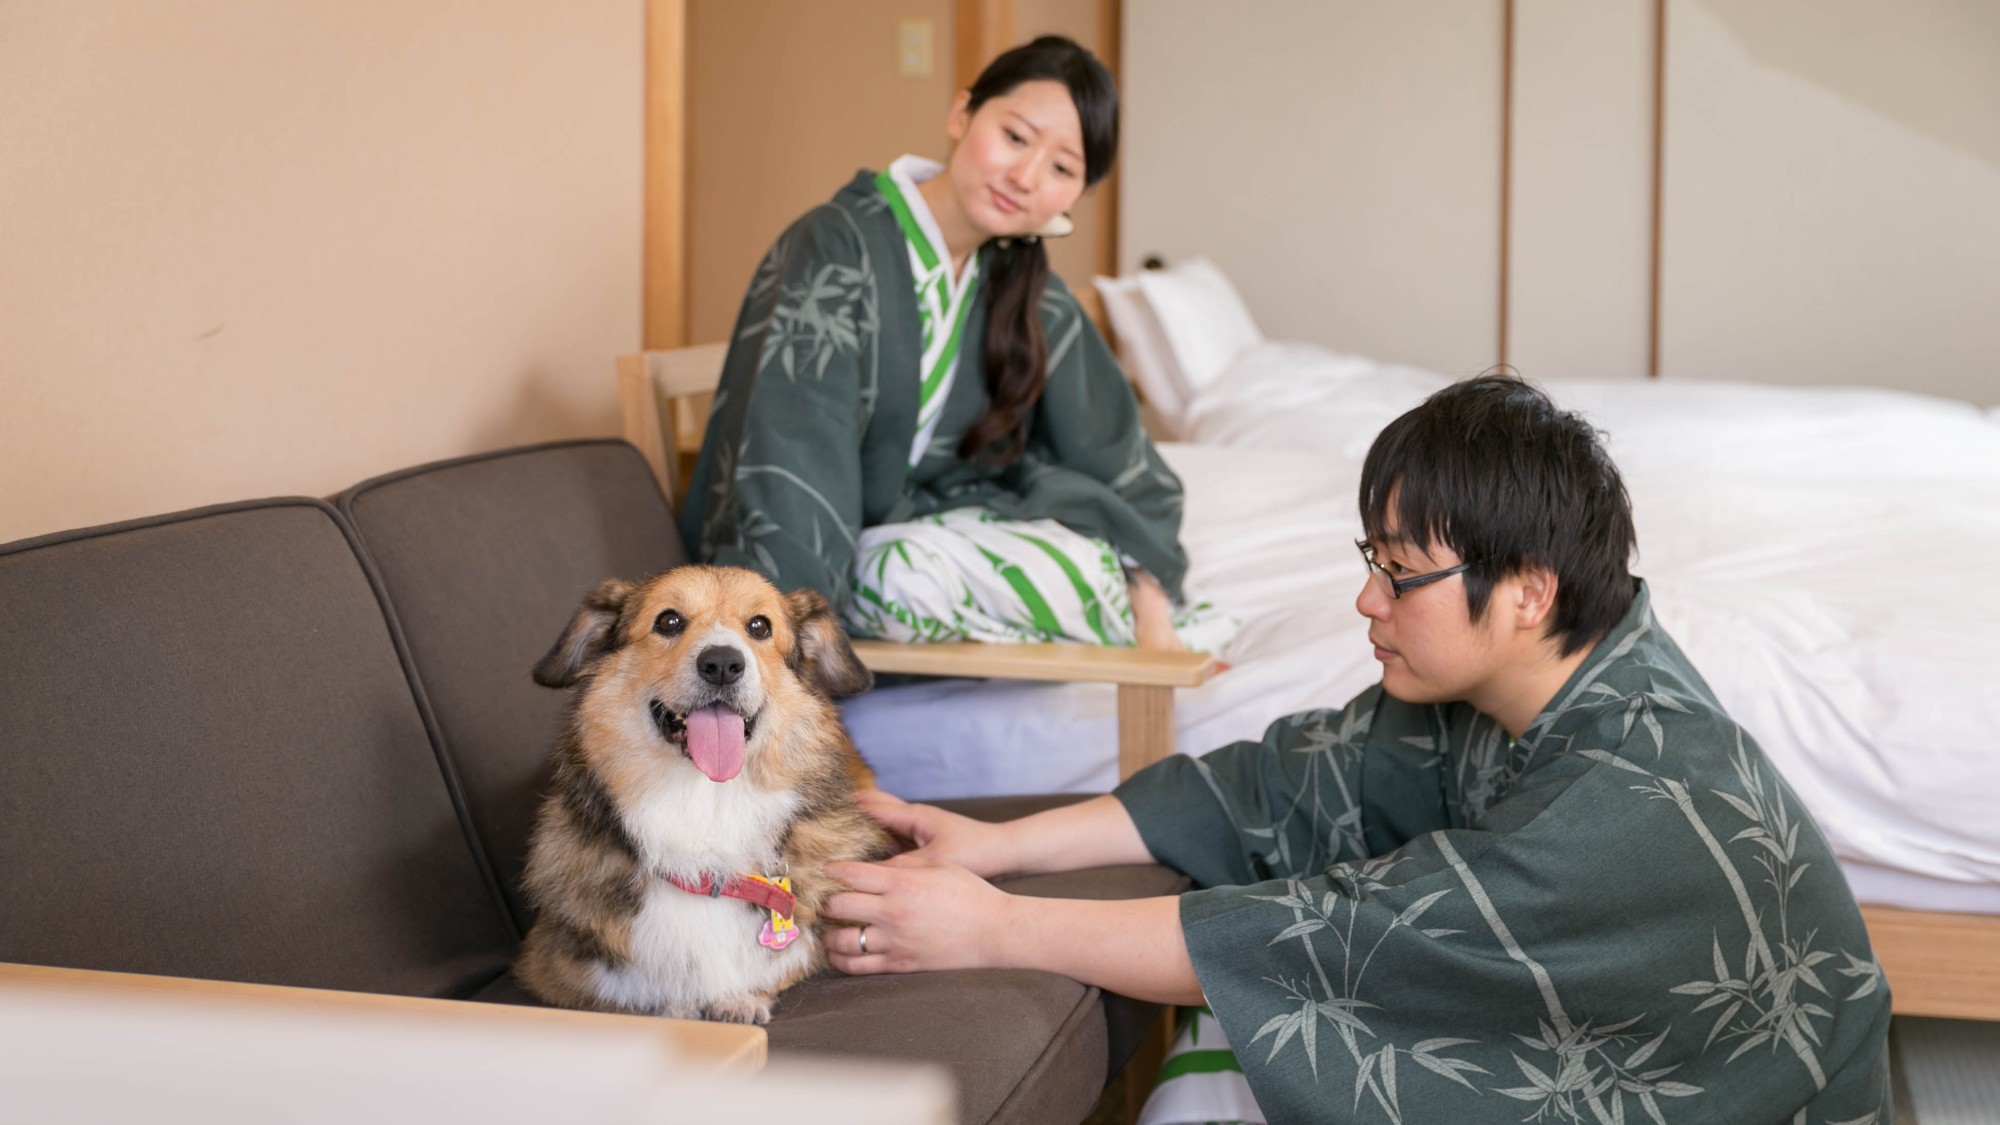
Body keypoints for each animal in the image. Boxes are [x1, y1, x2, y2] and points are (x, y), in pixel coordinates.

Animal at [516, 564, 892, 1020]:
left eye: (760, 626)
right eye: (668, 621)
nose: (723, 664)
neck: (706, 807)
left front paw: (736, 999)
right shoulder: (549, 968)